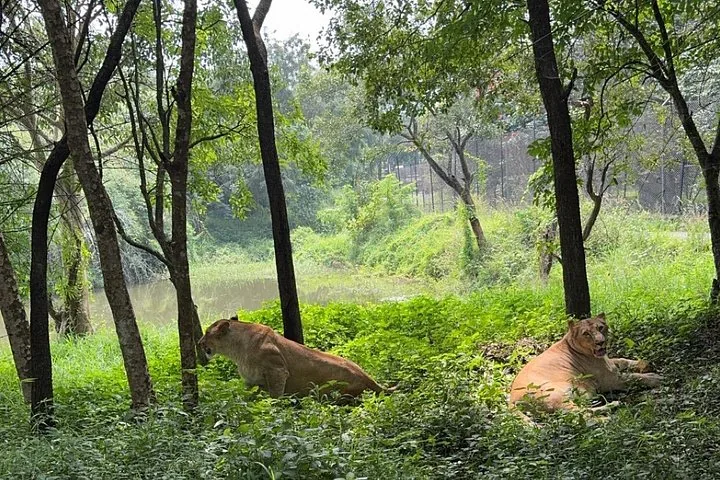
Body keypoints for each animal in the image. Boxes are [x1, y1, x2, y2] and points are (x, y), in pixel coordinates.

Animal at [198, 318, 384, 400]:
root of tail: (366, 377)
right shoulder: (251, 381)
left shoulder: (278, 371)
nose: (199, 343)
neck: (236, 351)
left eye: (207, 333)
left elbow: (276, 398)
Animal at [508, 313, 662, 413]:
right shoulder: (610, 380)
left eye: (600, 328)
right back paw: (608, 416)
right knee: (580, 415)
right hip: (557, 397)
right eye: (586, 333)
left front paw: (644, 363)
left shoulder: (610, 362)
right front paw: (655, 378)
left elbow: (622, 360)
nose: (600, 342)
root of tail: (511, 400)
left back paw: (612, 404)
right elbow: (635, 377)